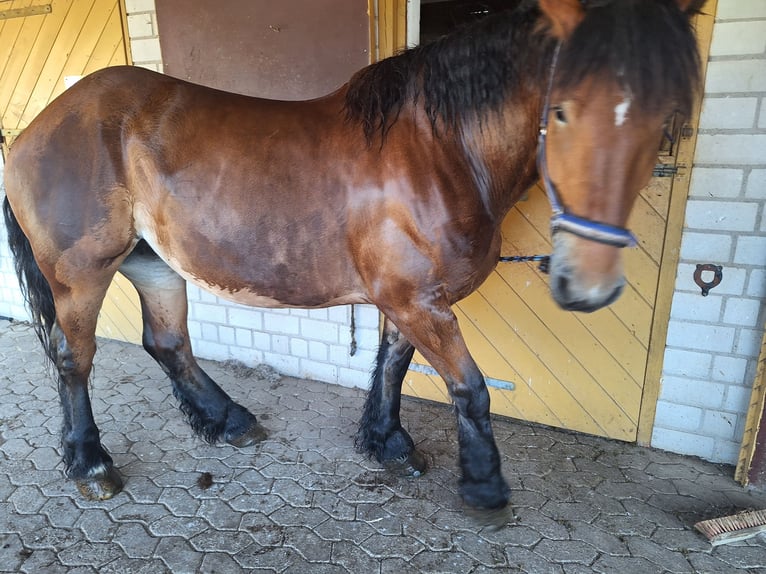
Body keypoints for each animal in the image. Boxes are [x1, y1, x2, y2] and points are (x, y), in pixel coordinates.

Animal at [3, 0, 702, 521]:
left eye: (666, 115)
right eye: (561, 111)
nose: (589, 284)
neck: (441, 151)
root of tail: (41, 126)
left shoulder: (410, 300)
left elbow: (392, 366)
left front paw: (388, 444)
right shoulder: (419, 302)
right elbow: (470, 389)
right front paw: (483, 485)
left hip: (153, 263)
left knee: (168, 344)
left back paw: (228, 420)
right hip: (81, 277)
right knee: (73, 359)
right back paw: (92, 463)